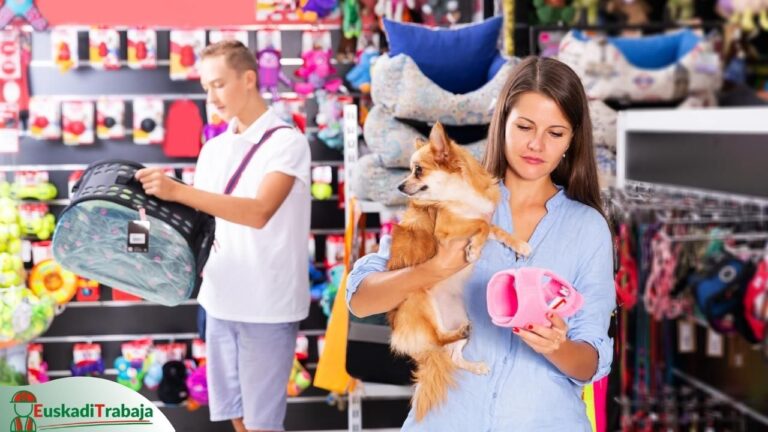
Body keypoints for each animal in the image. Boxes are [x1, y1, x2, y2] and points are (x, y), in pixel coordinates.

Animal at [388, 120, 532, 418]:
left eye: (417, 170)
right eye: (410, 170)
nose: (399, 185)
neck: (460, 197)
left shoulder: (480, 217)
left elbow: (494, 227)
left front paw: (519, 244)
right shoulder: (447, 230)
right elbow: (482, 225)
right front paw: (474, 249)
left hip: (460, 317)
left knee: (453, 357)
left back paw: (474, 362)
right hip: (423, 302)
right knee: (438, 339)